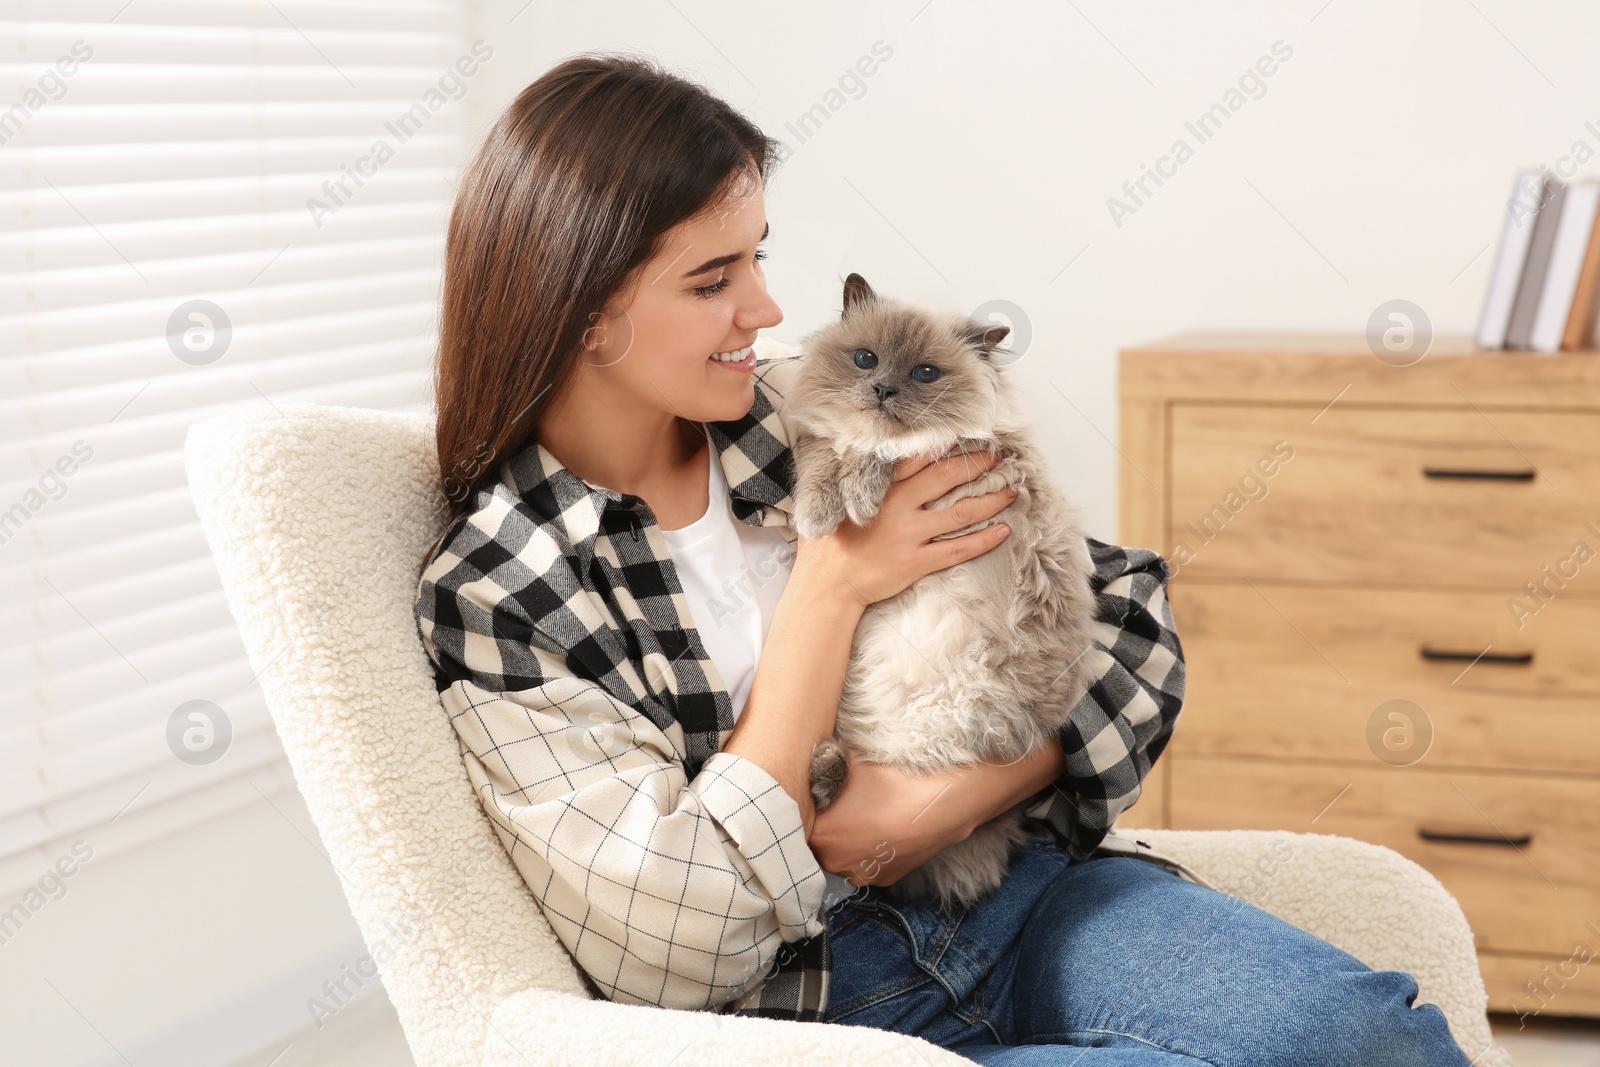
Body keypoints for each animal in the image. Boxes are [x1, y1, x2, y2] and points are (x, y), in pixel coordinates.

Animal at [787, 273, 1100, 908]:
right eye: (865, 359)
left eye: (925, 374)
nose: (882, 390)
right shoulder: (818, 440)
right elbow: (823, 457)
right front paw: (821, 513)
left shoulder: (952, 446)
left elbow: (878, 449)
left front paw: (856, 500)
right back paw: (825, 771)